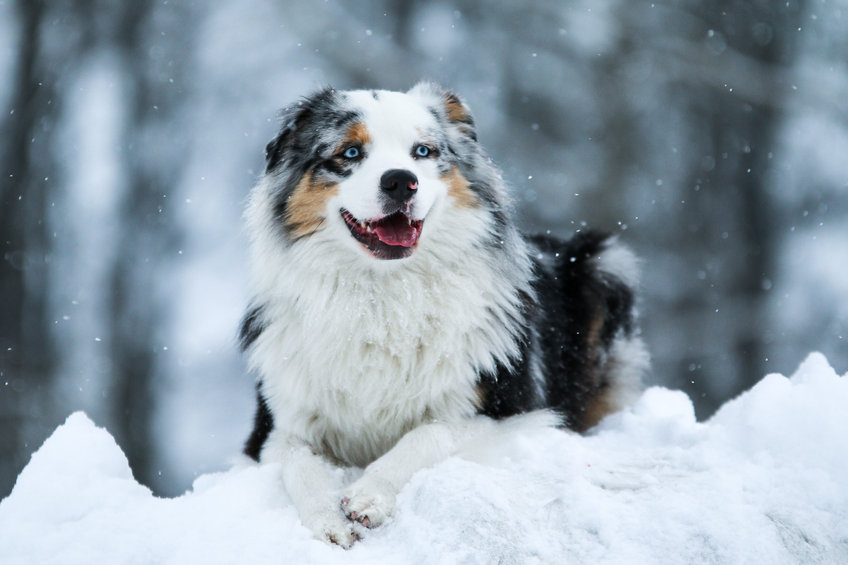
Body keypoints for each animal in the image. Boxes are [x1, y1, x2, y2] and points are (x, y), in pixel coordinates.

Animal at [238, 83, 648, 548]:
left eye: (423, 151)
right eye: (350, 152)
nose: (400, 181)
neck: (384, 296)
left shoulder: (517, 414)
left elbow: (430, 433)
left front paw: (369, 495)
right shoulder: (272, 427)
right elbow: (298, 462)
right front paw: (328, 519)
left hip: (607, 263)